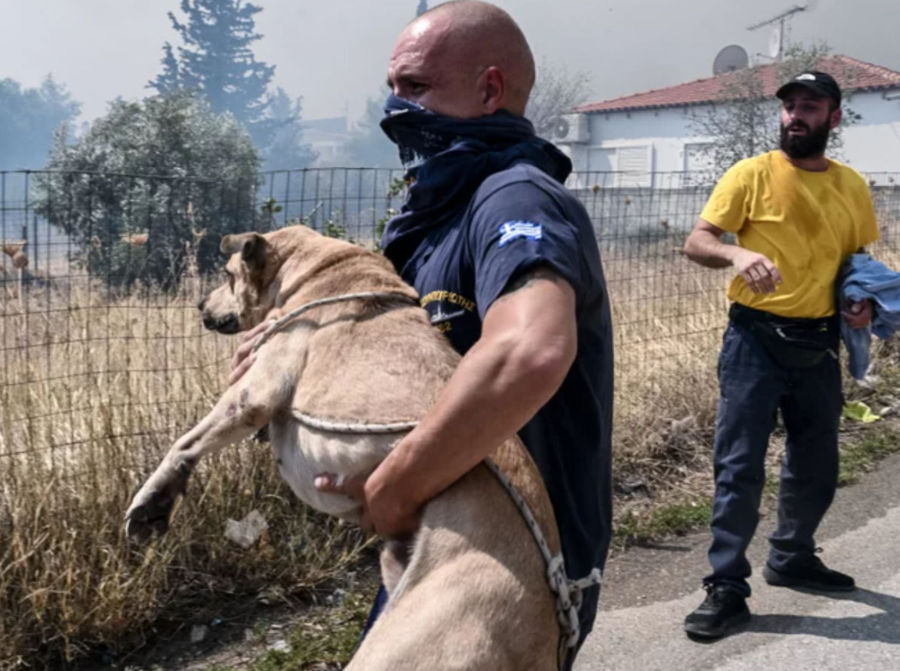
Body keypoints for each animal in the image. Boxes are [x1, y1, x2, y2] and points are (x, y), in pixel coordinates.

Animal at [126, 227, 564, 671]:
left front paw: (153, 500)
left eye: (229, 275)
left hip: (401, 648)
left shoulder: (254, 392)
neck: (316, 272)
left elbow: (185, 443)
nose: (200, 303)